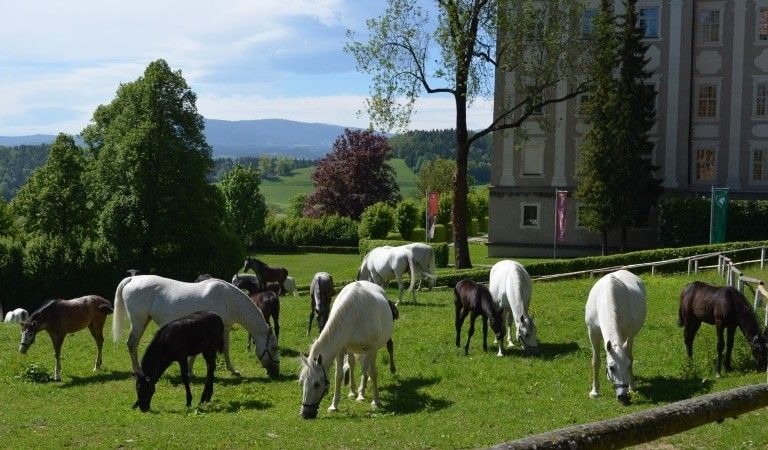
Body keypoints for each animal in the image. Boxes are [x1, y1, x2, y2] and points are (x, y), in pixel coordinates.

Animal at [112, 275, 279, 379]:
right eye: (274, 347)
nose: (276, 372)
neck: (228, 299)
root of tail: (132, 279)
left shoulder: (225, 327)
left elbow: (224, 350)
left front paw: (231, 370)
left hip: (144, 321)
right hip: (138, 321)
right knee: (132, 344)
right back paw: (139, 372)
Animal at [299, 281, 394, 419]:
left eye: (316, 384)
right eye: (302, 382)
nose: (305, 414)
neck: (354, 314)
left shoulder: (372, 349)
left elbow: (373, 373)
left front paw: (376, 402)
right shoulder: (341, 350)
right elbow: (338, 376)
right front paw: (334, 406)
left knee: (365, 367)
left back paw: (361, 393)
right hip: (352, 349)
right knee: (353, 364)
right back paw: (354, 392)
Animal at [585, 270, 647, 405]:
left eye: (628, 366)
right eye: (611, 368)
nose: (623, 397)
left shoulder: (624, 335)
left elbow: (629, 357)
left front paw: (631, 387)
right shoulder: (592, 333)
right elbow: (595, 361)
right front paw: (594, 392)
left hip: (631, 336)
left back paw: (632, 386)